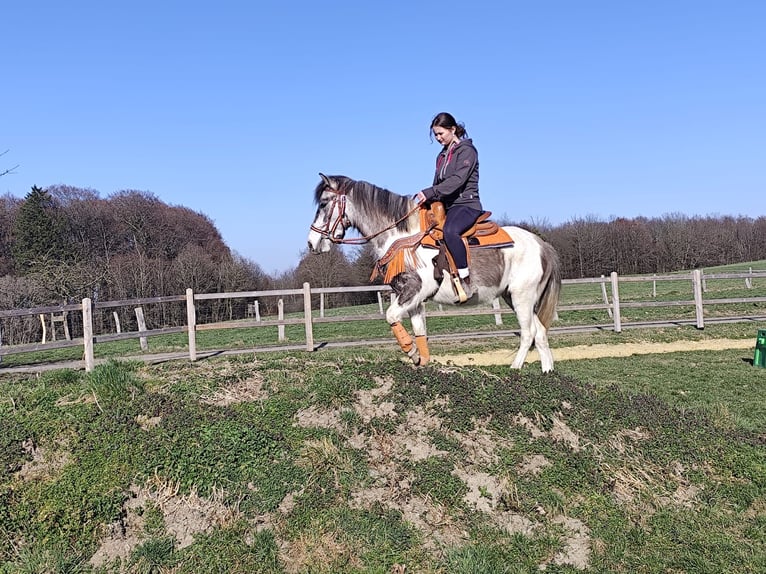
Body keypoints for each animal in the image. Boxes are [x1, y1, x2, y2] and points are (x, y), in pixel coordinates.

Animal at [306, 174, 562, 372]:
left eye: (323, 203)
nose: (311, 243)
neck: (402, 237)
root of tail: (542, 245)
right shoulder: (413, 298)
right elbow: (419, 330)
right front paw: (422, 359)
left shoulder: (416, 289)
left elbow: (390, 316)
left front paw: (411, 352)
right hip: (514, 297)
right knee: (540, 332)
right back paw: (547, 372)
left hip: (522, 297)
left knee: (528, 333)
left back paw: (515, 368)